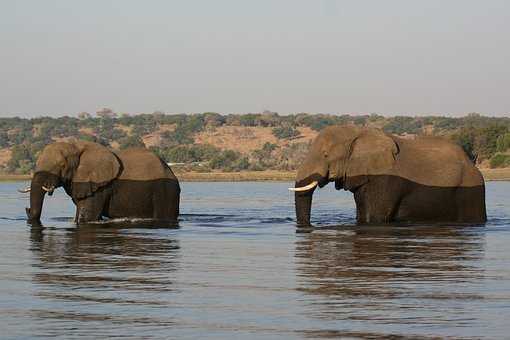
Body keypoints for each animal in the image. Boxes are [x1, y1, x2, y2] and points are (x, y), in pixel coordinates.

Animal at [22, 140, 181, 226]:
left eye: (61, 166)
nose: (27, 209)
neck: (76, 146)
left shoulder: (100, 186)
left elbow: (87, 218)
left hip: (166, 191)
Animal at [290, 125, 486, 226]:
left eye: (325, 155)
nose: (306, 226)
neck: (358, 132)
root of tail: (472, 164)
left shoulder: (386, 178)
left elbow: (375, 217)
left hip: (470, 189)